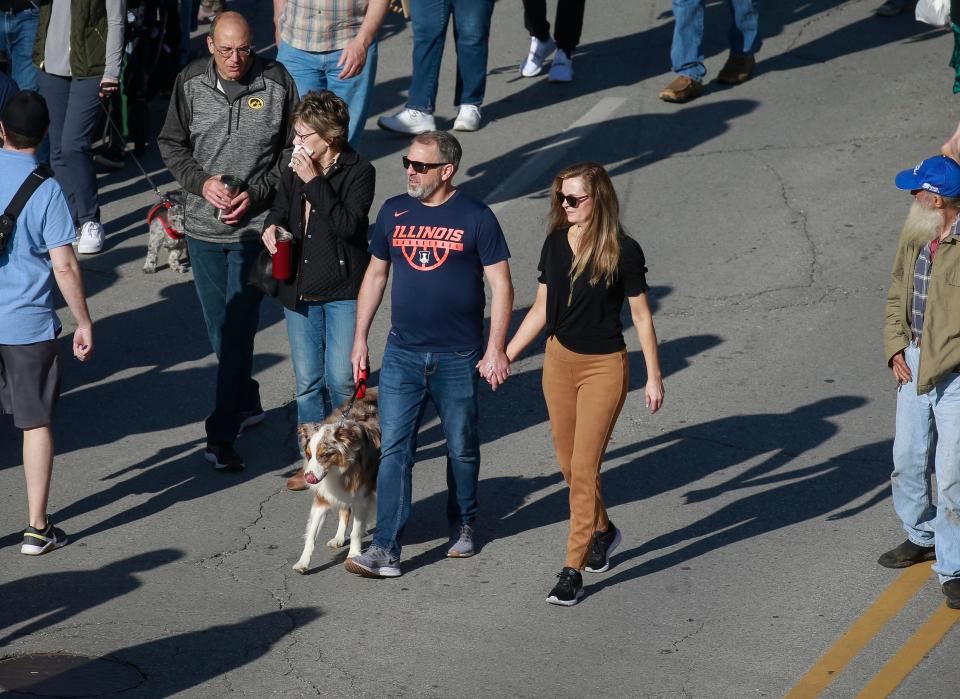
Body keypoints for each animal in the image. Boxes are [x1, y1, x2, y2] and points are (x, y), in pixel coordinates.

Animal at [292, 388, 378, 576]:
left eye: (324, 455)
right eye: (308, 455)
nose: (308, 477)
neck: (334, 472)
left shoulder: (360, 497)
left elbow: (355, 532)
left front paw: (353, 555)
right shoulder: (322, 499)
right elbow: (311, 535)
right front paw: (303, 562)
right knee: (344, 510)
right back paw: (338, 537)